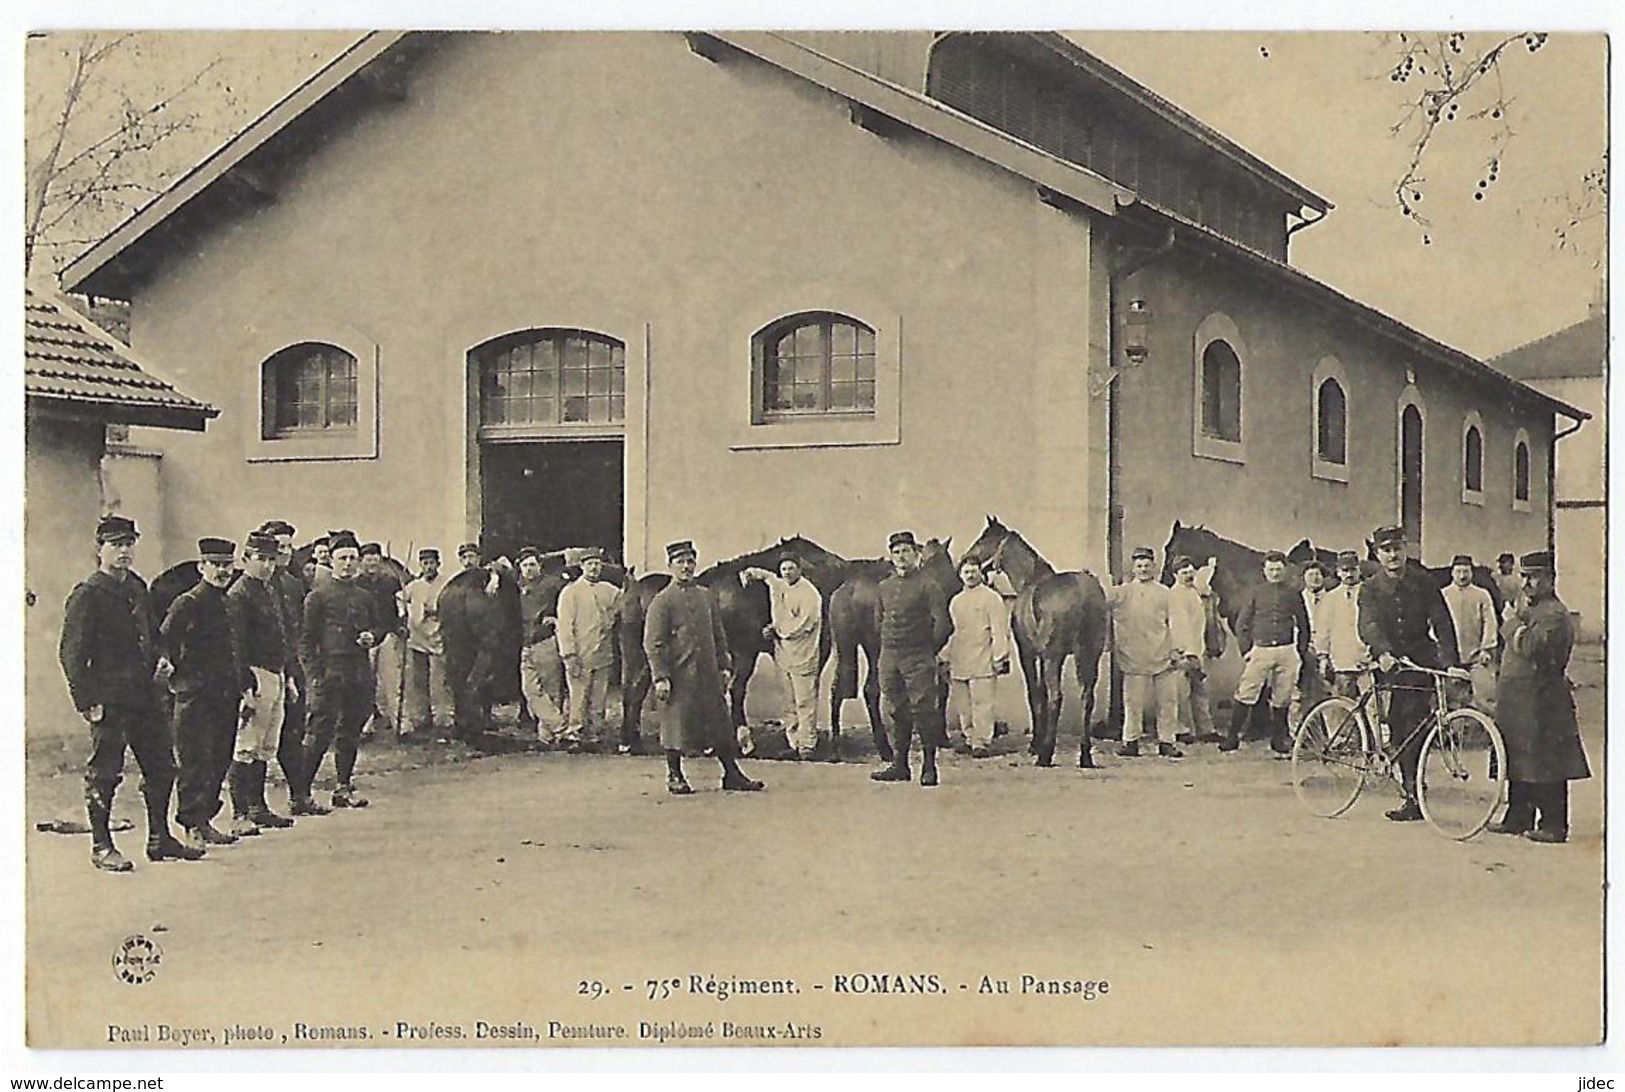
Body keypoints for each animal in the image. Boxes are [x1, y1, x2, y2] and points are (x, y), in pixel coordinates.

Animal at [955, 516, 1111, 767]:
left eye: (984, 539)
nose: (963, 560)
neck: (1030, 579)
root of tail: (1084, 592)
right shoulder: (1042, 655)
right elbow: (1041, 693)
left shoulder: (1028, 653)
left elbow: (1035, 695)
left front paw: (1036, 744)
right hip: (1089, 656)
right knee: (1087, 699)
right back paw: (1085, 755)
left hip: (1055, 658)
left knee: (1057, 698)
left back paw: (1046, 754)